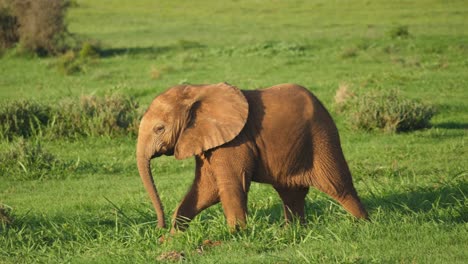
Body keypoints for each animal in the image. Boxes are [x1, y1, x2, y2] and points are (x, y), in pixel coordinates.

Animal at [136, 82, 370, 231]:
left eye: (159, 129)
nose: (159, 228)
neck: (197, 90)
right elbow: (206, 190)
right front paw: (173, 239)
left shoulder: (234, 141)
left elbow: (230, 186)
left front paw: (235, 236)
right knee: (291, 194)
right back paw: (292, 232)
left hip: (322, 138)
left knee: (338, 186)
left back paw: (364, 225)